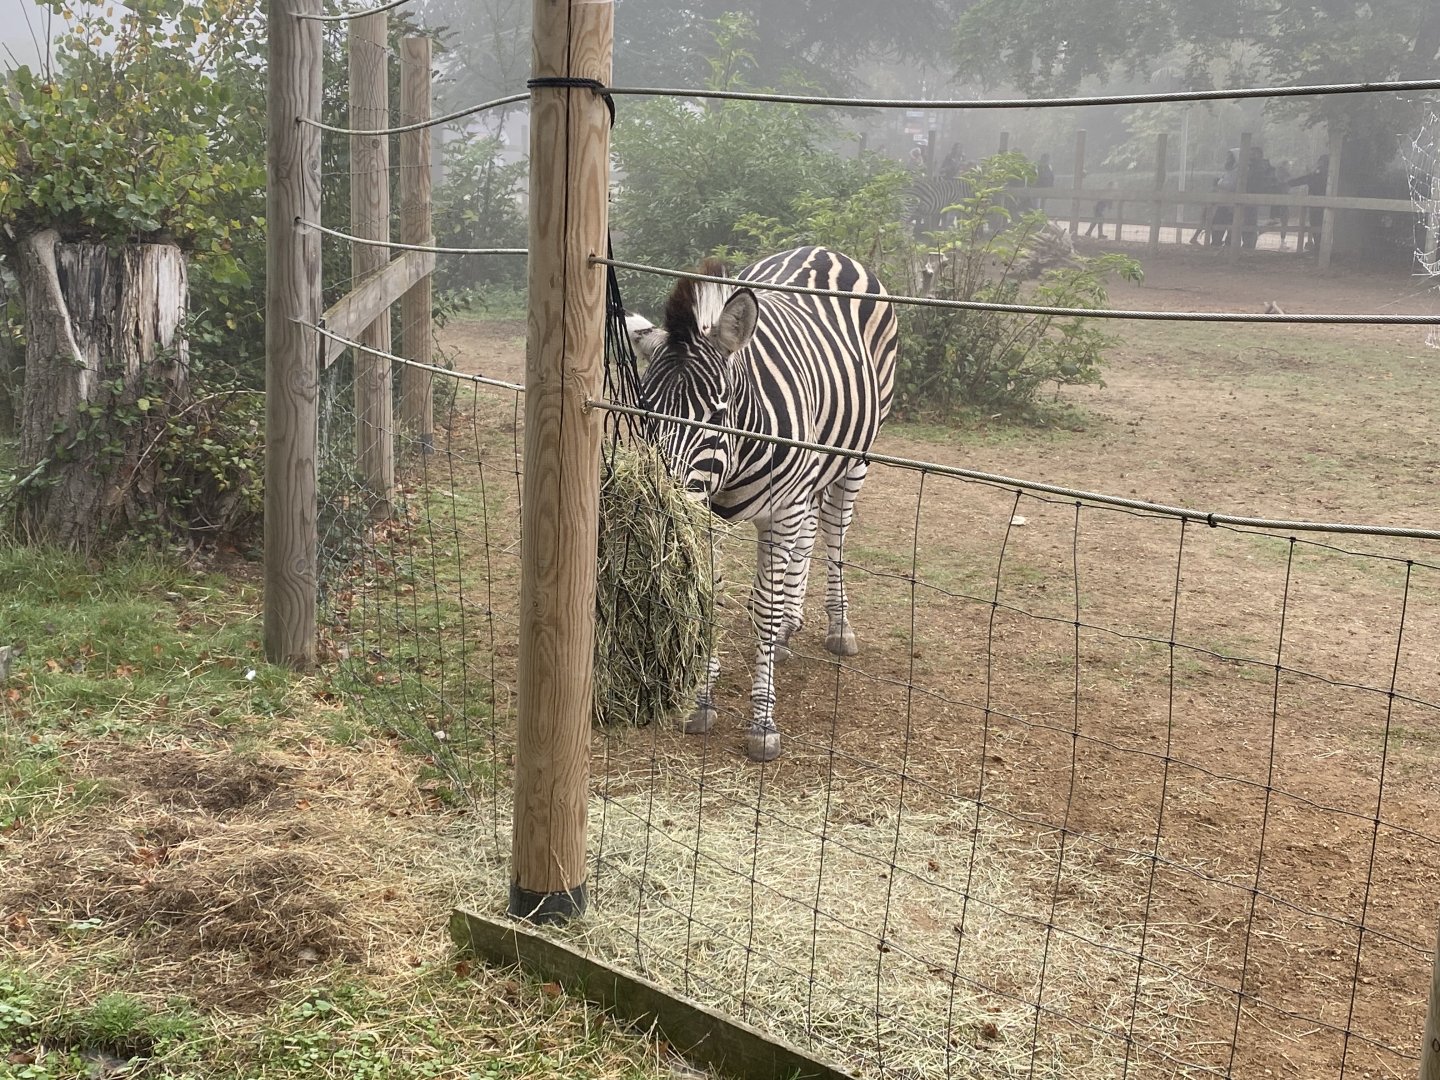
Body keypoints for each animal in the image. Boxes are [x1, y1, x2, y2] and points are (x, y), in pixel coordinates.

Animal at [628, 246, 899, 762]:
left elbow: (764, 611)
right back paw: (793, 624)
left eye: (716, 414)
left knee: (833, 531)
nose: (661, 507)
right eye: (645, 411)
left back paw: (837, 627)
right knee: (811, 534)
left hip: (855, 459)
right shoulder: (707, 514)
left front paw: (763, 721)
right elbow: (707, 603)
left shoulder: (781, 510)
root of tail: (824, 249)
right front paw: (701, 701)